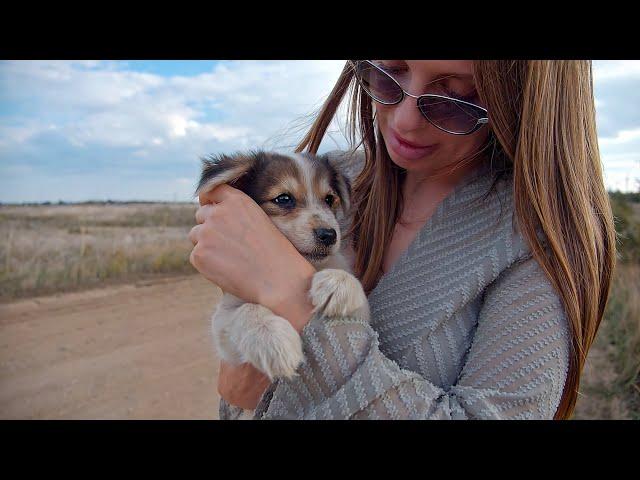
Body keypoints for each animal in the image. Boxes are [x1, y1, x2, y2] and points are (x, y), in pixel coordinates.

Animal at [194, 149, 370, 416]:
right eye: (284, 198)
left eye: (329, 199)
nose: (329, 235)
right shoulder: (223, 325)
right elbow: (247, 309)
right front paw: (273, 340)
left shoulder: (364, 317)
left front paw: (339, 283)